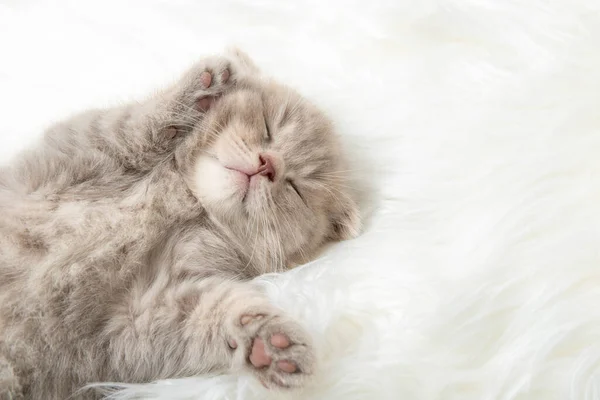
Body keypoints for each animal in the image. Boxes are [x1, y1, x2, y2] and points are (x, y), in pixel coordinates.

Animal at [0, 48, 356, 398]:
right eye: (269, 125)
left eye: (296, 188)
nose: (268, 165)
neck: (185, 199)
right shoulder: (68, 151)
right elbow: (129, 126)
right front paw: (201, 90)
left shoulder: (130, 322)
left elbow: (209, 312)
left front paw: (268, 342)